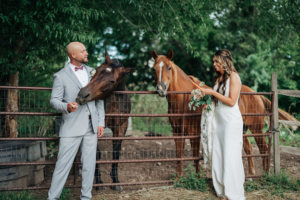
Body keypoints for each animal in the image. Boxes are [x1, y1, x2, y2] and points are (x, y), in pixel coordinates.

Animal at [76, 51, 135, 191]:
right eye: (96, 70)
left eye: (112, 80)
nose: (82, 94)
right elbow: (96, 154)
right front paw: (99, 182)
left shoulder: (121, 127)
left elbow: (116, 152)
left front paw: (116, 181)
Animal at [151, 49, 296, 178]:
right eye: (153, 69)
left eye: (169, 68)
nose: (161, 89)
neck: (184, 99)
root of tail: (257, 95)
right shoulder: (177, 132)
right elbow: (179, 155)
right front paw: (178, 178)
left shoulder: (193, 132)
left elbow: (195, 155)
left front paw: (197, 177)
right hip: (242, 130)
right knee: (249, 148)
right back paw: (250, 174)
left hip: (257, 129)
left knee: (264, 149)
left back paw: (265, 174)